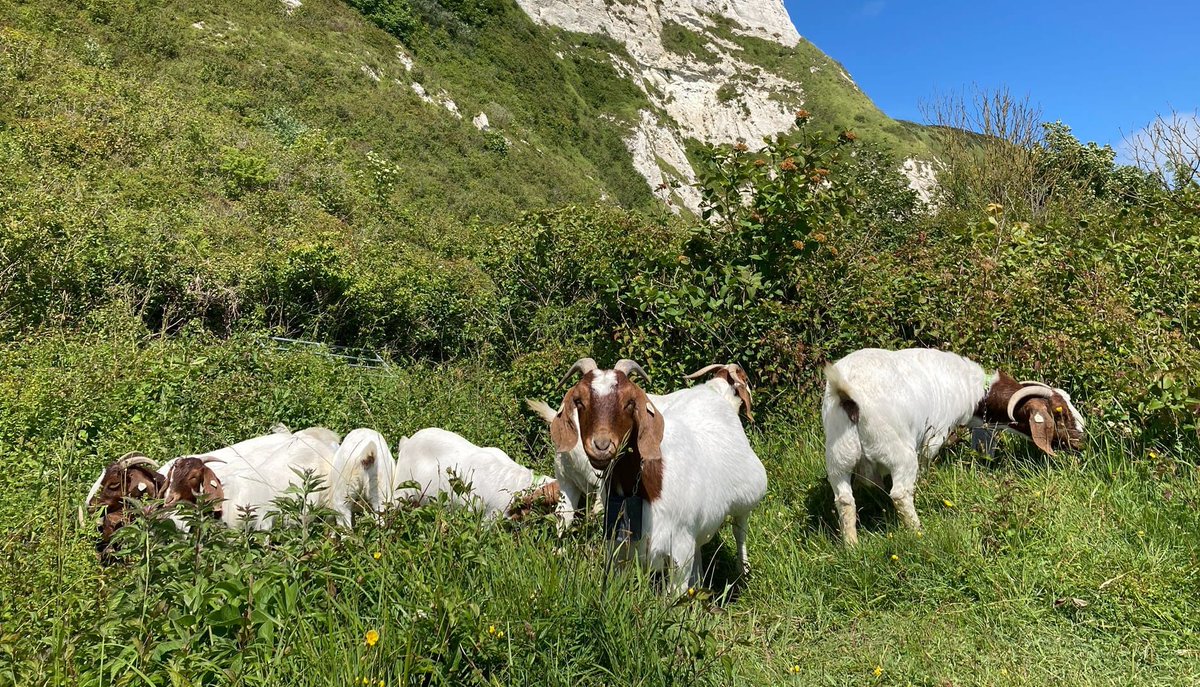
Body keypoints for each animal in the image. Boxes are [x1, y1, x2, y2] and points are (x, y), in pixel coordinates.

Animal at [550, 357, 767, 594]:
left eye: (630, 401)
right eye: (579, 401)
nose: (601, 445)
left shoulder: (679, 549)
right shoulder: (618, 550)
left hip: (745, 499)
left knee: (739, 530)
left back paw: (743, 571)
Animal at [823, 347, 1086, 545]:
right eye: (1059, 412)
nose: (1082, 440)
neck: (973, 390)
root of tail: (847, 395)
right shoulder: (935, 436)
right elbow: (926, 463)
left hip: (838, 455)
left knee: (844, 499)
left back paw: (852, 545)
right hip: (897, 451)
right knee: (900, 493)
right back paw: (918, 532)